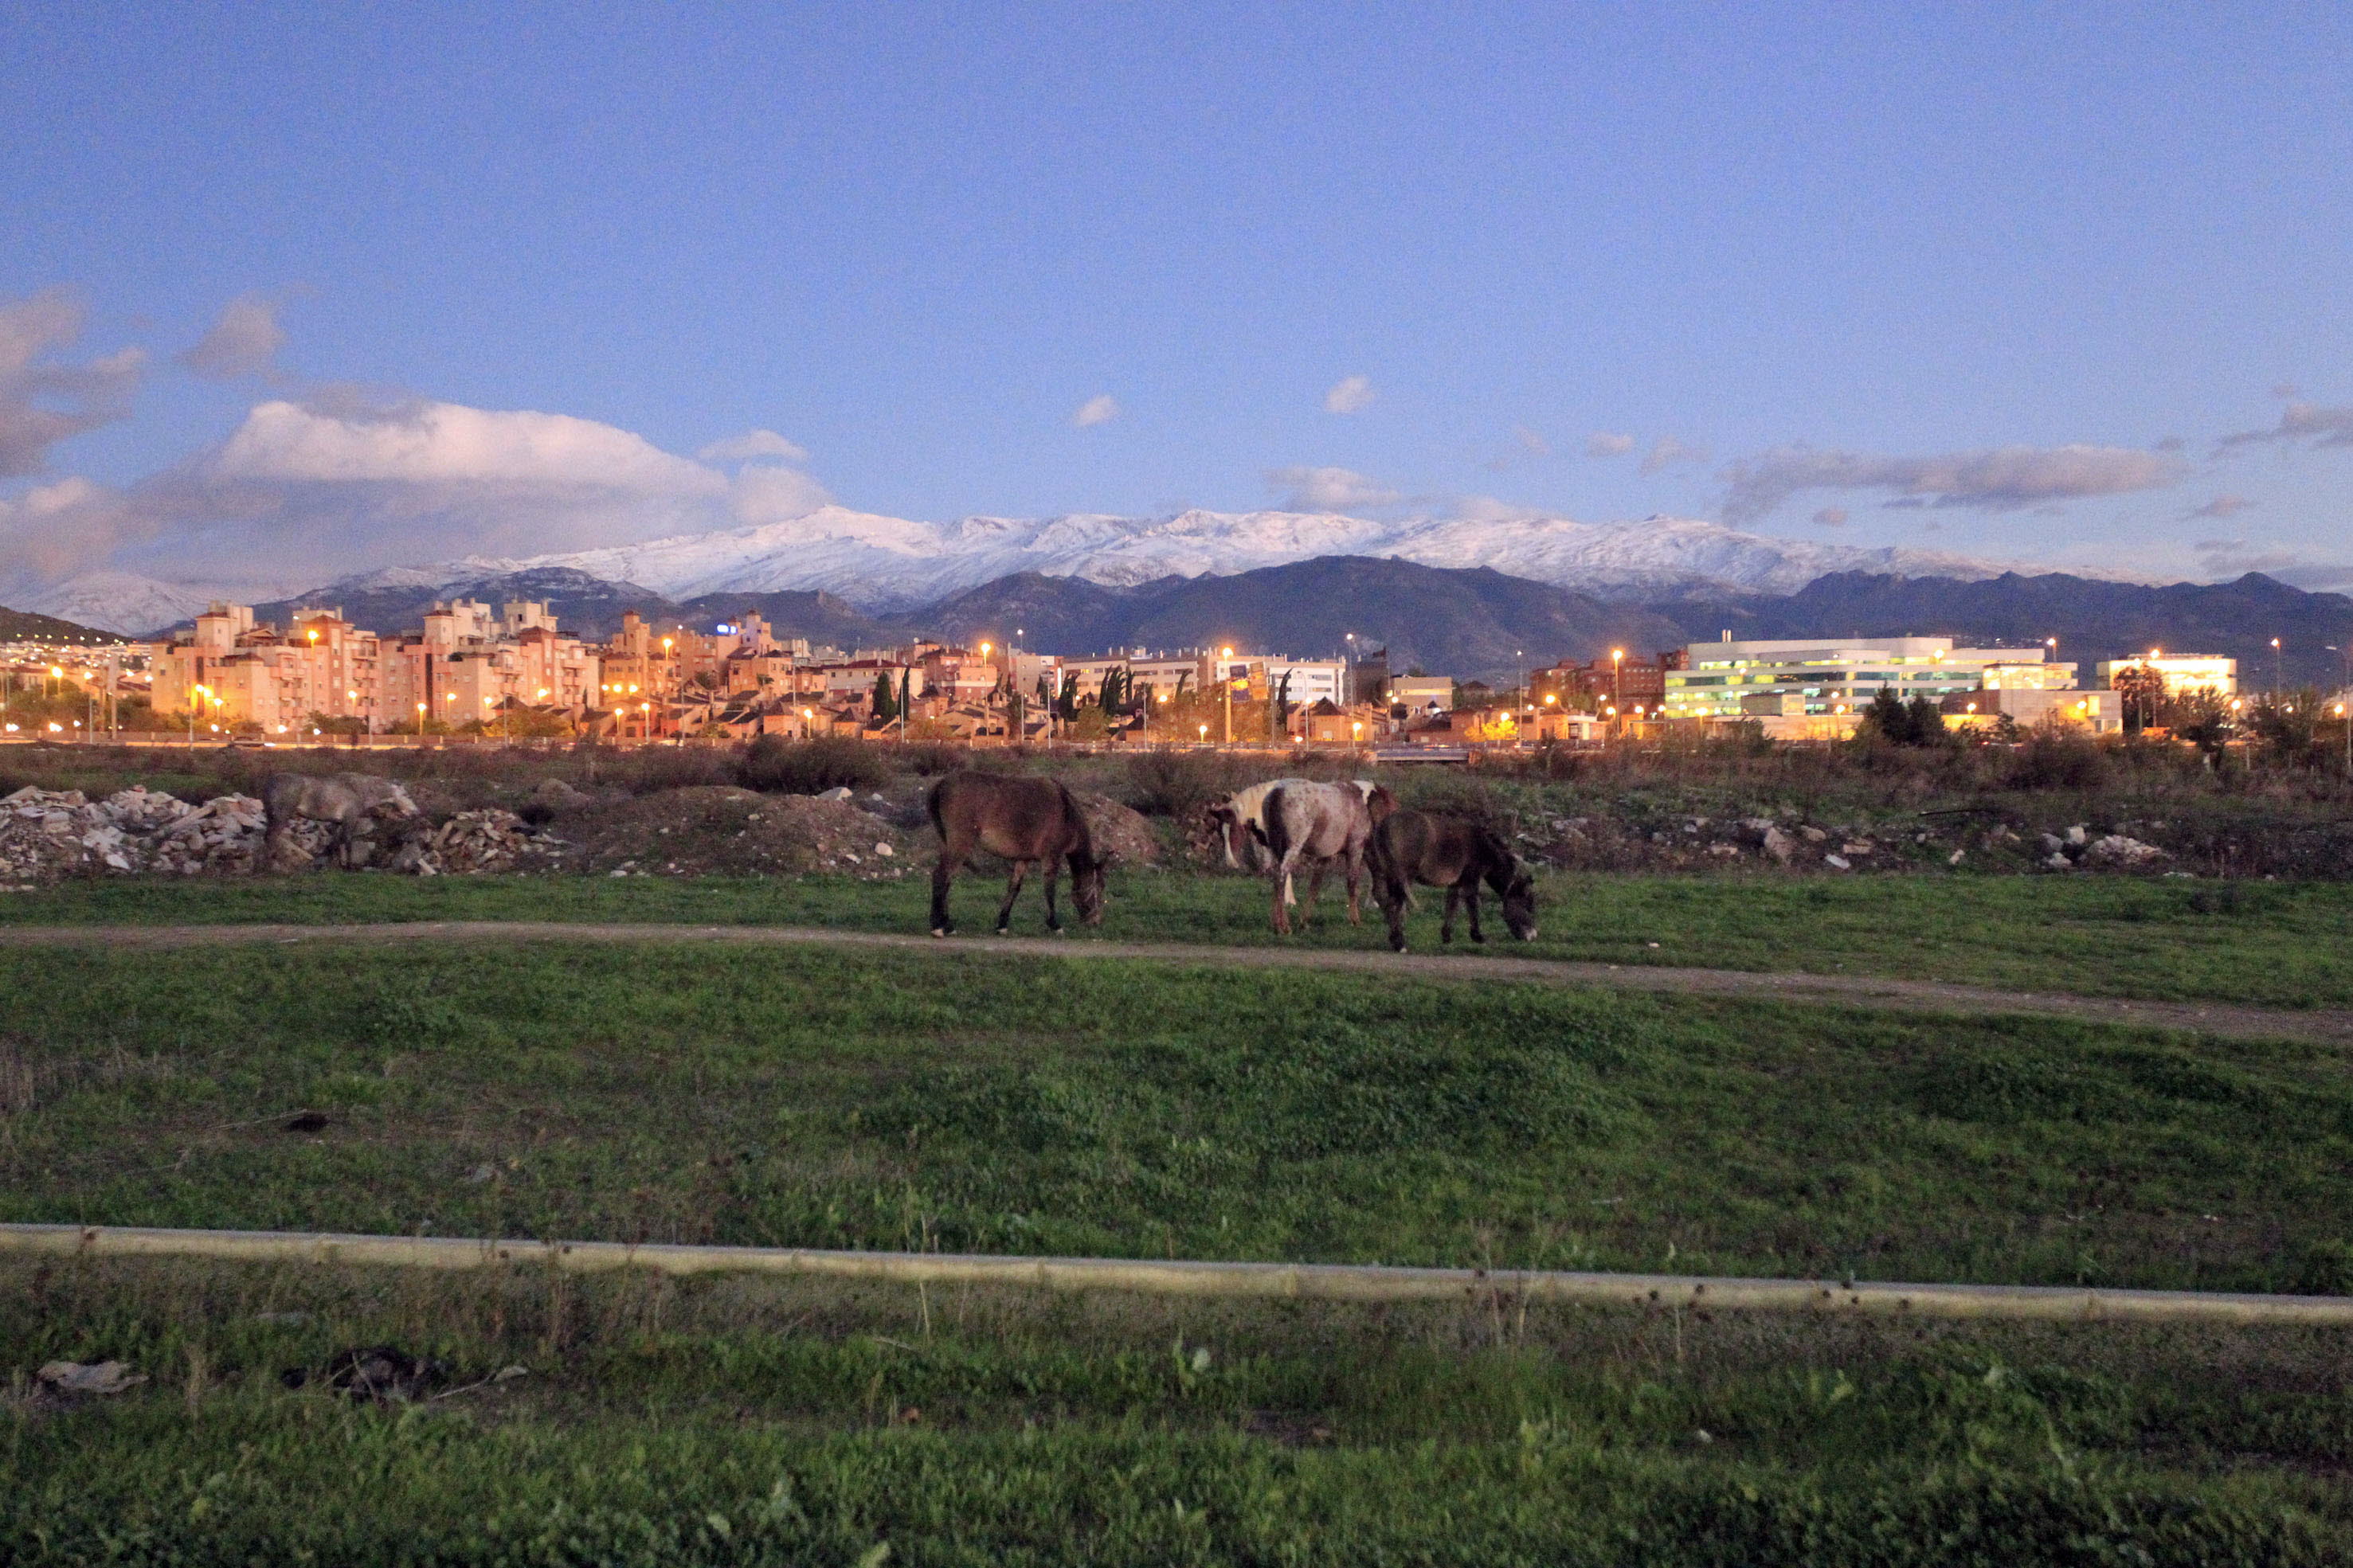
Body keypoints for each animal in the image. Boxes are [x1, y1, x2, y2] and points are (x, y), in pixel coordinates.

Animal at [260, 771, 418, 870]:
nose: (416, 812)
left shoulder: (337, 822)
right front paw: (348, 866)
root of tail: (267, 785)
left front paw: (333, 864)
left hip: (271, 815)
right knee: (271, 836)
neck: (365, 794)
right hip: (281, 815)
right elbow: (348, 842)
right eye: (406, 795)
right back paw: (271, 865)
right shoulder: (350, 818)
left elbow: (335, 843)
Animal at [922, 771, 1106, 940]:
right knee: (941, 877)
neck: (1066, 812)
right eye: (1098, 888)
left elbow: (1014, 888)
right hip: (960, 845)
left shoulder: (1023, 859)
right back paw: (937, 927)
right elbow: (1050, 889)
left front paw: (1002, 925)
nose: (1095, 921)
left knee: (945, 880)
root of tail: (941, 785)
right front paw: (1055, 925)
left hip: (946, 844)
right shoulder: (1051, 857)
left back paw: (947, 925)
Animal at [1364, 808, 1543, 959]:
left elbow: (1452, 905)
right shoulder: (1472, 878)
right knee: (1395, 902)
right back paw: (1399, 942)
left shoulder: (1456, 882)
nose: (1532, 937)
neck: (1485, 846)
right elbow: (1472, 905)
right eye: (1528, 905)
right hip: (1404, 877)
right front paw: (1478, 937)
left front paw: (1447, 937)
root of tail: (1384, 828)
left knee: (1385, 899)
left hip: (1383, 874)